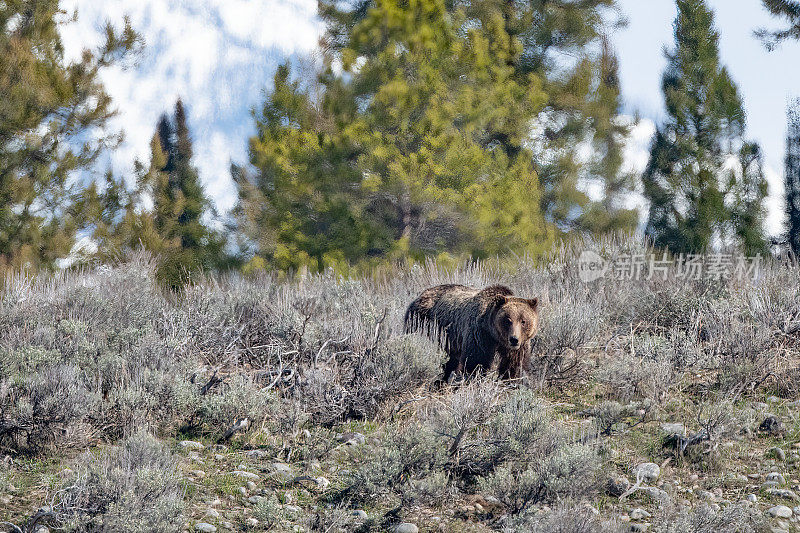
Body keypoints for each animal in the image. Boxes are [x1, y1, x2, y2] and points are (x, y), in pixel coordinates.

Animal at [404, 282, 540, 382]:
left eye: (523, 321)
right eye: (508, 320)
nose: (514, 339)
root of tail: (421, 294)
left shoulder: (517, 345)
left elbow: (514, 363)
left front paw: (510, 380)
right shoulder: (479, 332)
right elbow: (476, 360)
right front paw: (473, 378)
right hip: (421, 321)